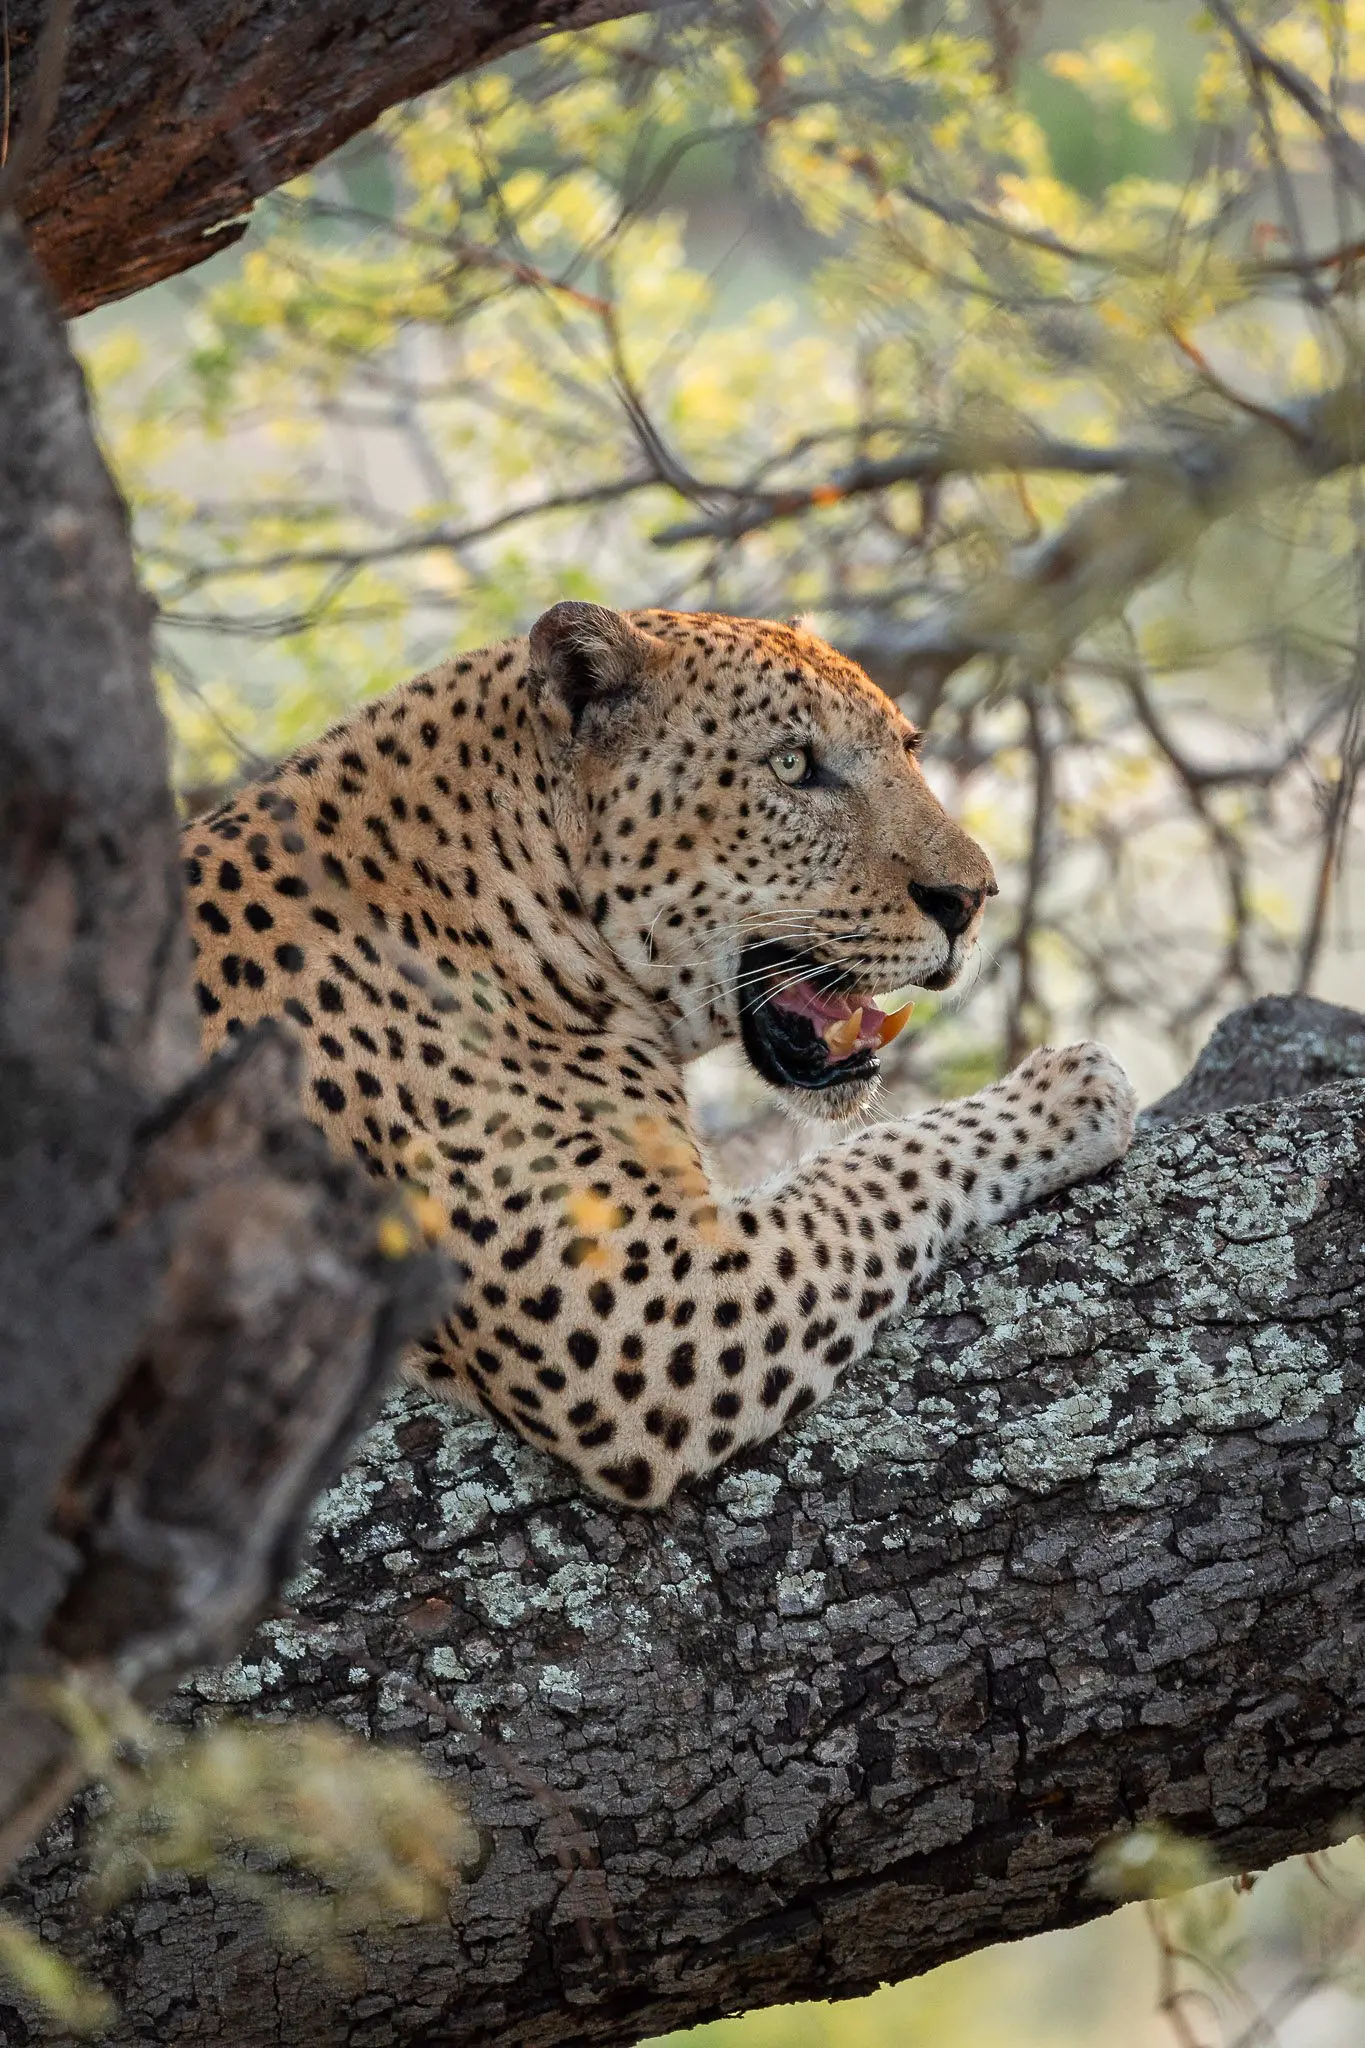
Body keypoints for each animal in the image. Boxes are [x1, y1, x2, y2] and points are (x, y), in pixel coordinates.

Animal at [183, 602, 1136, 1508]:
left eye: (907, 748)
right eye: (792, 766)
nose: (971, 898)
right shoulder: (647, 1310)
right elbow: (868, 1168)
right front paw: (1066, 1090)